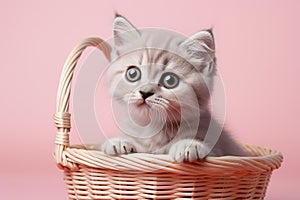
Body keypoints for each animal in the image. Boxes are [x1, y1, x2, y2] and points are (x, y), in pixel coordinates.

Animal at [101, 14, 246, 162]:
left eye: (170, 80)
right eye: (132, 73)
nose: (145, 92)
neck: (153, 128)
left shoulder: (219, 149)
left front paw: (188, 145)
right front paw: (119, 141)